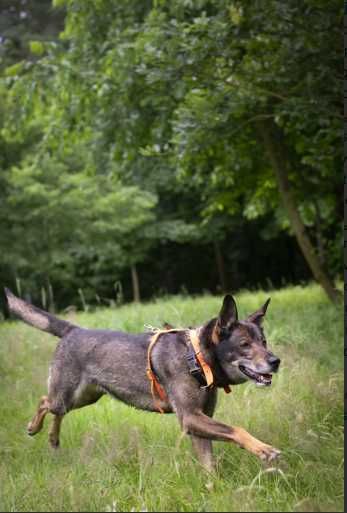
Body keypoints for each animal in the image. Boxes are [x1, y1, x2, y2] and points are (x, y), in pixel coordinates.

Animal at [4, 286, 282, 470]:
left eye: (264, 342)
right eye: (244, 345)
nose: (276, 361)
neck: (196, 357)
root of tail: (73, 330)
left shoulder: (198, 423)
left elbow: (209, 466)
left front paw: (213, 491)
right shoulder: (190, 418)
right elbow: (237, 430)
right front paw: (264, 449)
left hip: (84, 398)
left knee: (56, 411)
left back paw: (53, 439)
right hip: (67, 394)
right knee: (45, 402)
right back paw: (34, 428)